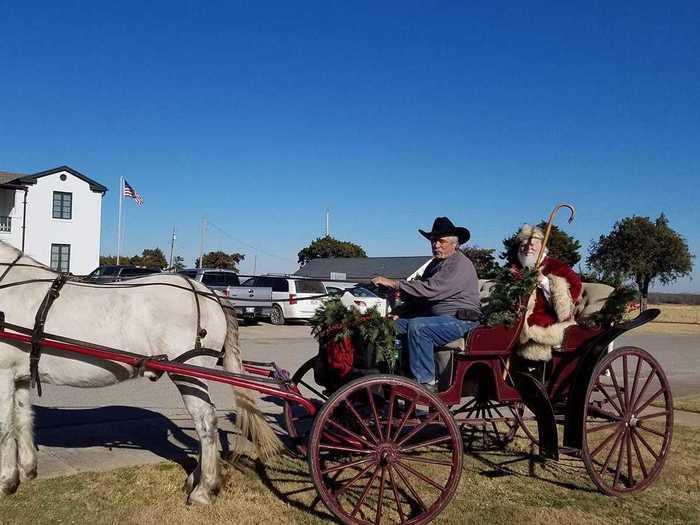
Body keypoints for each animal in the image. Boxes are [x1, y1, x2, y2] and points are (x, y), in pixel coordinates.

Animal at [0, 242, 284, 504]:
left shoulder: (3, 374)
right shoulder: (19, 376)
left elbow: (5, 427)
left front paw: (6, 481)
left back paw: (204, 489)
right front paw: (27, 471)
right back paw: (197, 478)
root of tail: (207, 293)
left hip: (188, 373)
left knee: (205, 420)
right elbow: (22, 419)